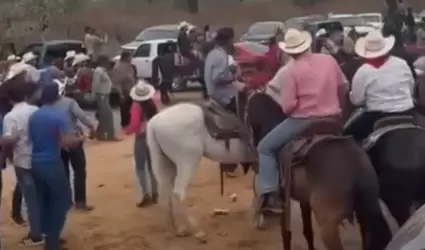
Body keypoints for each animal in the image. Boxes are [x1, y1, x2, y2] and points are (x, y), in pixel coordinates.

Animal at [146, 101, 255, 240]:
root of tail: (154, 122)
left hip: (166, 164)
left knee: (166, 195)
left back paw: (178, 228)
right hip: (188, 162)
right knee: (178, 194)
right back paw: (193, 229)